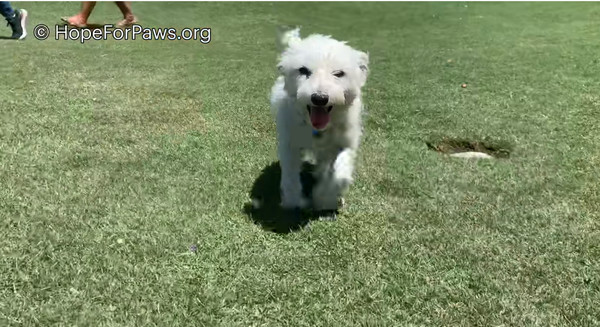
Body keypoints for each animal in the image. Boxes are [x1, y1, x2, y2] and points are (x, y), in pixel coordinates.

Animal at [270, 27, 368, 218]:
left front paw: (325, 198)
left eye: (339, 73)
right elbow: (290, 175)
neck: (318, 129)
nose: (320, 98)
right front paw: (293, 200)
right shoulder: (289, 145)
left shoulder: (346, 143)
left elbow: (340, 173)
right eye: (303, 70)